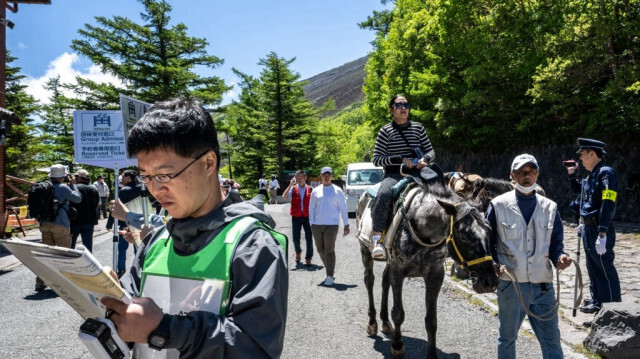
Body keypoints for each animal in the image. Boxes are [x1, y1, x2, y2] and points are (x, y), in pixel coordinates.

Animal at [358, 183, 498, 359]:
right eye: (464, 235)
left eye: (489, 230)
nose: (490, 282)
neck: (421, 227)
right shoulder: (398, 271)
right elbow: (398, 313)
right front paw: (397, 346)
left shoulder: (435, 275)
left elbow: (431, 320)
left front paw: (432, 354)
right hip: (365, 250)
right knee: (369, 280)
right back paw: (372, 323)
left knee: (385, 281)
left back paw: (385, 322)